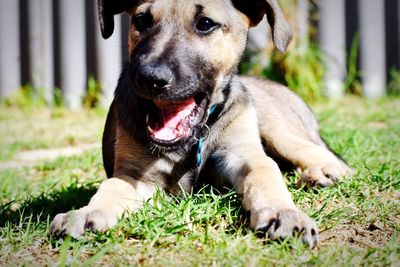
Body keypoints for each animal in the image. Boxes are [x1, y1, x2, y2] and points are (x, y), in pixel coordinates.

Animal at [50, 0, 354, 249]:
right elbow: (112, 187)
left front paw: (284, 213)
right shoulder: (137, 174)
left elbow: (265, 174)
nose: (148, 78)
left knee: (326, 157)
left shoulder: (243, 154)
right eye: (141, 20)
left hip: (277, 129)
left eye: (205, 23)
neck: (195, 137)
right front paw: (86, 214)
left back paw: (320, 174)